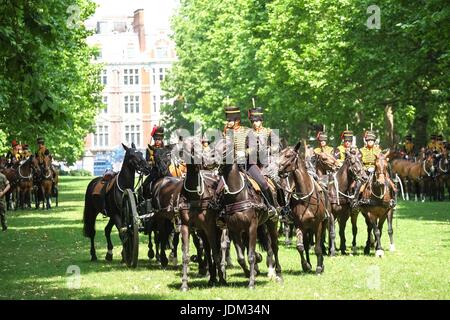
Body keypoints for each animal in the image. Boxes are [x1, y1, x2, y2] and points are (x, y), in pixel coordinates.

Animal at [280, 141, 328, 274]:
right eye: (280, 153)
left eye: (288, 155)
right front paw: (305, 265)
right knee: (306, 245)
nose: (279, 169)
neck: (306, 198)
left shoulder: (318, 224)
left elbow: (318, 247)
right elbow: (300, 246)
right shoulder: (299, 225)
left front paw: (319, 267)